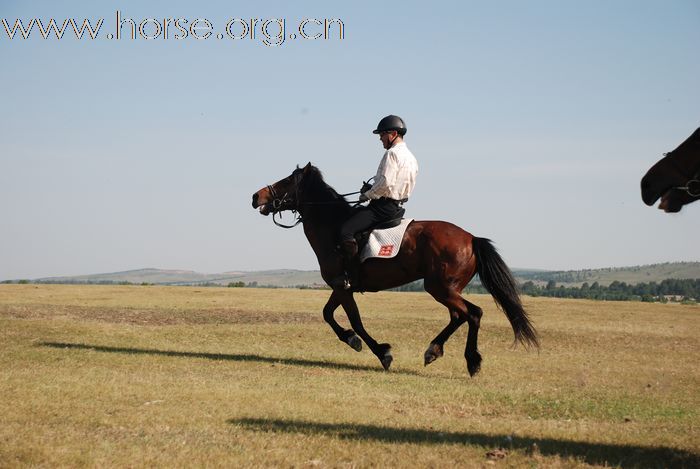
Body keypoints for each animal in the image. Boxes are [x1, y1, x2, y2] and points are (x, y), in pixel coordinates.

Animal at [254, 163, 540, 374]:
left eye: (286, 181)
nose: (256, 196)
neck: (332, 225)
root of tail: (471, 238)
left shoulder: (342, 287)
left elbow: (355, 321)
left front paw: (381, 352)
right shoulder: (341, 286)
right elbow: (327, 314)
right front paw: (352, 339)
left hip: (439, 288)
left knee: (473, 313)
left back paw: (471, 360)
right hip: (446, 289)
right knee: (459, 316)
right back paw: (434, 350)